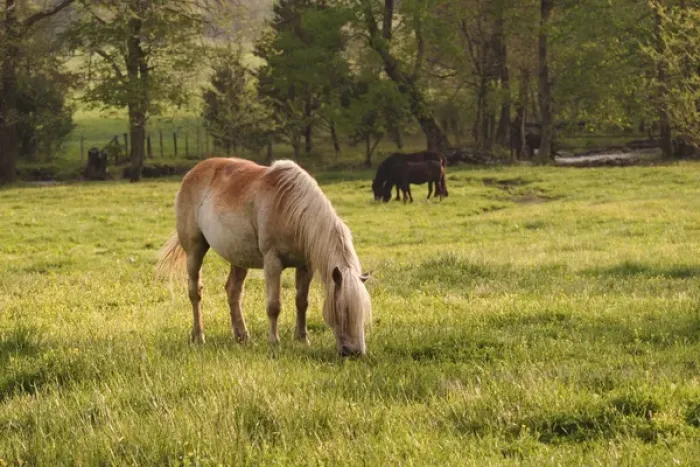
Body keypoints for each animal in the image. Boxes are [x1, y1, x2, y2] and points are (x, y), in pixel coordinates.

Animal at [156, 157, 372, 357]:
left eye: (362, 313)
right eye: (343, 311)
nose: (354, 353)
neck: (289, 209)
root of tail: (192, 172)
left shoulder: (305, 266)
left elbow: (302, 301)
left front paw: (302, 339)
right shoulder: (272, 262)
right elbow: (274, 306)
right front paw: (274, 342)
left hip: (238, 257)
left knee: (233, 291)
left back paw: (242, 337)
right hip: (195, 250)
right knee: (195, 292)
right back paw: (199, 337)